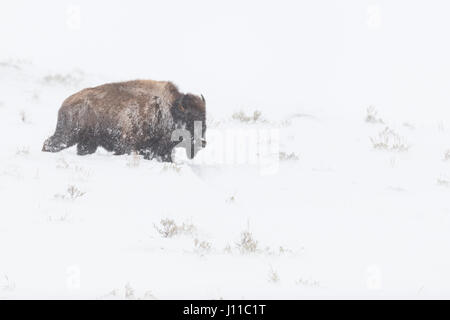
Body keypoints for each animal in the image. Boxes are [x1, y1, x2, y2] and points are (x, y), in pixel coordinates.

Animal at [41, 79, 207, 161]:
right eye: (190, 119)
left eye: (204, 121)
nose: (203, 142)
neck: (170, 109)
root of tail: (66, 103)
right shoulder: (129, 145)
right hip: (68, 135)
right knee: (50, 144)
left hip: (88, 142)